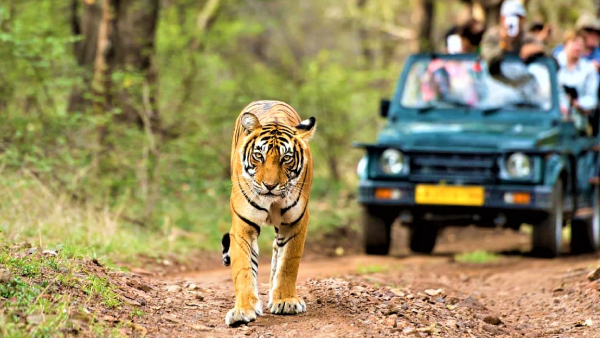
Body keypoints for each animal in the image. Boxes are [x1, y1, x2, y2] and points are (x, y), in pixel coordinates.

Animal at [220, 99, 314, 326]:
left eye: (286, 158)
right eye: (258, 156)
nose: (270, 186)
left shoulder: (296, 222)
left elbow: (288, 262)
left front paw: (286, 300)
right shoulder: (243, 225)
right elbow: (243, 268)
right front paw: (243, 310)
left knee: (277, 252)